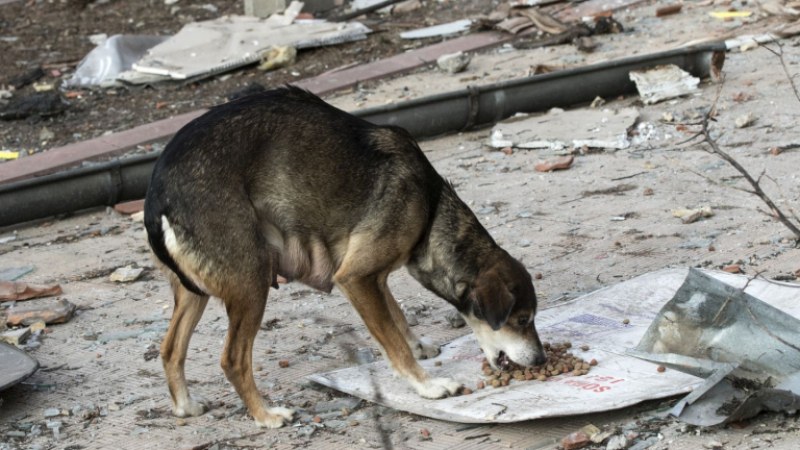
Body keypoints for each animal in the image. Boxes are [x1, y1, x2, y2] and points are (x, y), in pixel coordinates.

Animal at [144, 86, 548, 428]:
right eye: (523, 319)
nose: (542, 359)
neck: (430, 207)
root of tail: (156, 194)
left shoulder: (373, 277)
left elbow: (396, 317)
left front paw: (418, 344)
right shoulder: (355, 278)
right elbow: (394, 344)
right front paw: (427, 385)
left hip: (194, 294)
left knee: (171, 349)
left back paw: (186, 406)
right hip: (251, 283)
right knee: (233, 359)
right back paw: (266, 415)